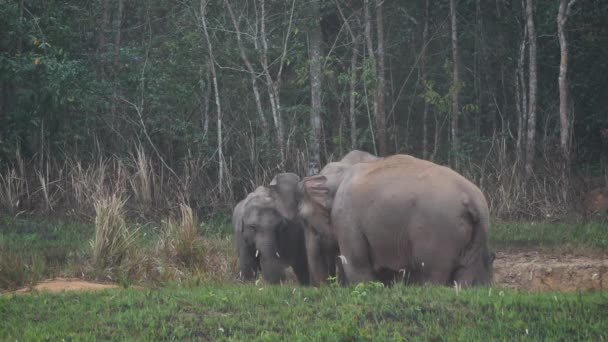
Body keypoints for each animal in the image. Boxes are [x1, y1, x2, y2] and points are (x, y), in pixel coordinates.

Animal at [300, 154, 494, 286]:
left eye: (303, 219)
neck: (341, 173)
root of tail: (472, 198)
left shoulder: (346, 217)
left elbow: (357, 265)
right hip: (477, 234)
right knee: (464, 274)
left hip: (439, 233)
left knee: (433, 273)